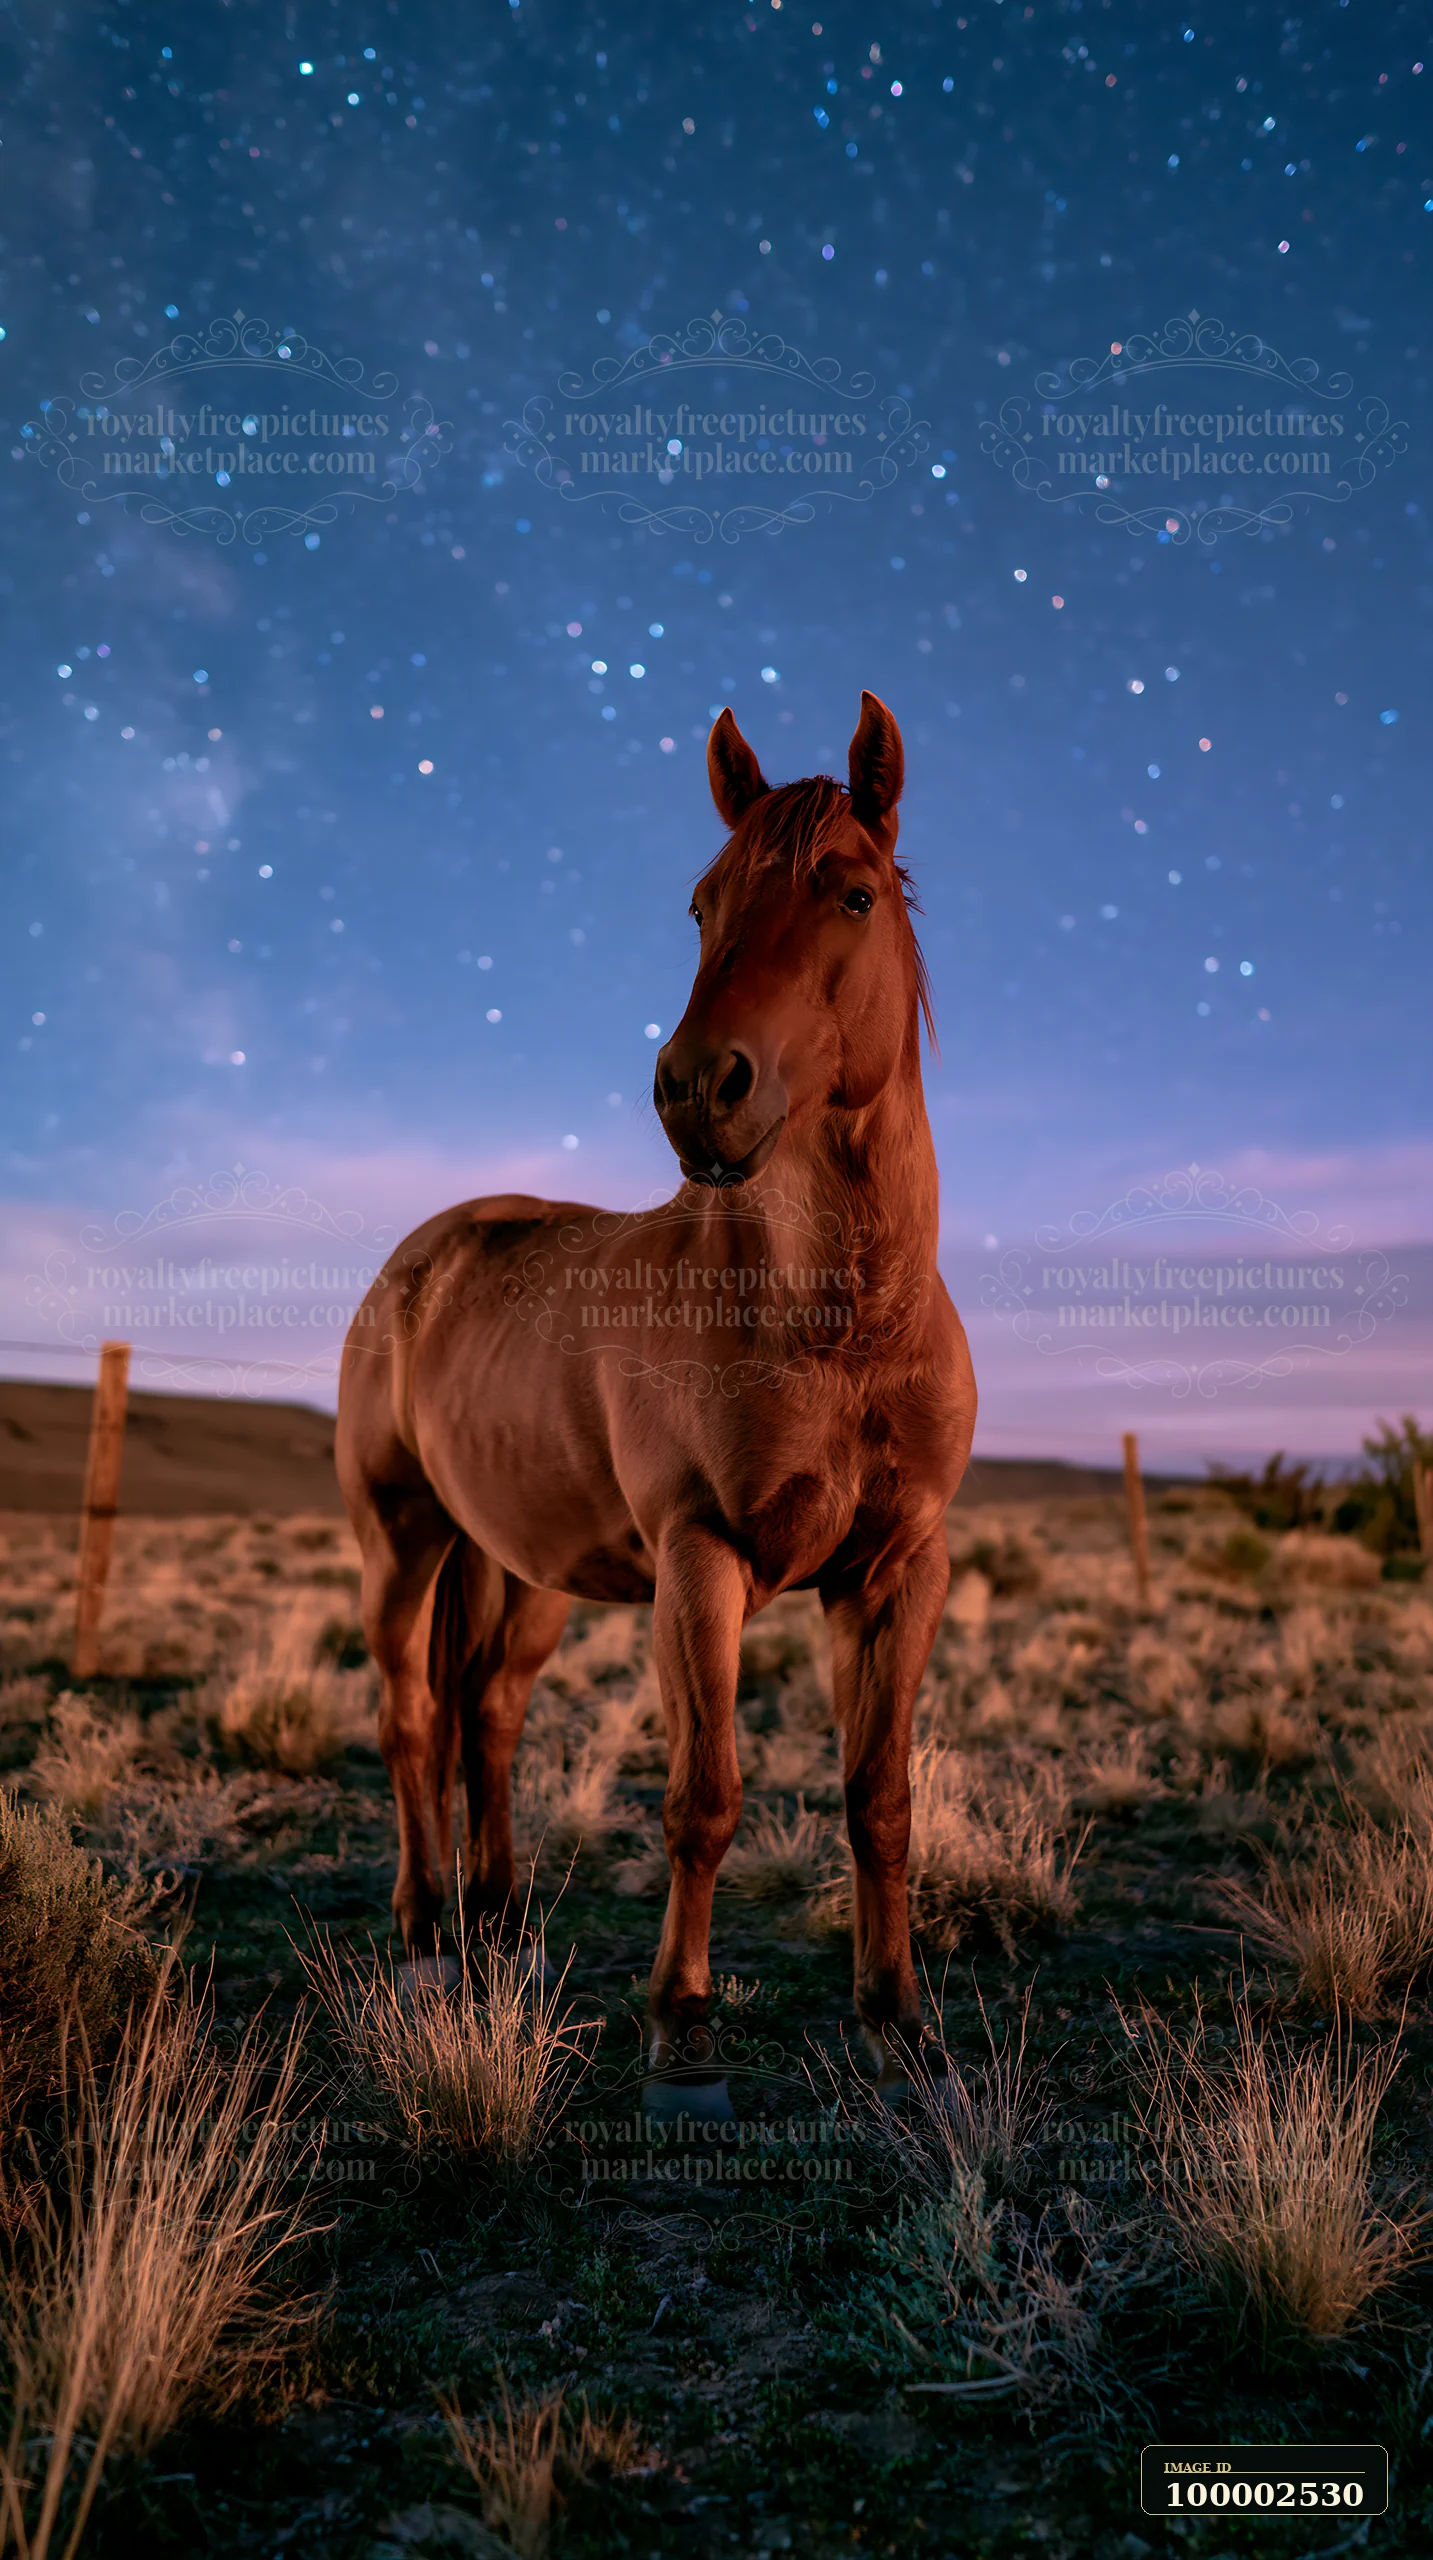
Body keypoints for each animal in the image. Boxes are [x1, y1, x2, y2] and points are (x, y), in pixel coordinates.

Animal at [335, 691, 977, 2099]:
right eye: (699, 905)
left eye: (851, 892)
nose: (695, 1087)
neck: (837, 1322)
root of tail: (414, 1258)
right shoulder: (701, 1556)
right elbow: (703, 1797)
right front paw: (680, 2023)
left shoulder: (896, 1567)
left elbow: (878, 1796)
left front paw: (899, 2016)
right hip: (401, 1536)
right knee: (410, 1715)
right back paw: (425, 1931)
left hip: (520, 1563)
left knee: (487, 1713)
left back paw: (500, 1921)